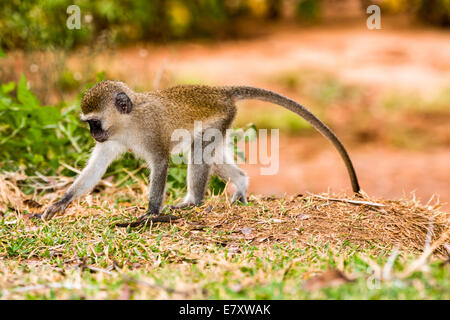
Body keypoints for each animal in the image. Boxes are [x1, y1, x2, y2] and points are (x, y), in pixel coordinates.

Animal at [40, 80, 360, 225]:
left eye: (94, 123)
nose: (94, 134)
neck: (130, 121)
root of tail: (221, 91)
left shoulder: (152, 133)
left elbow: (161, 163)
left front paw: (151, 213)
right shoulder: (112, 140)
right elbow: (96, 168)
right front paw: (62, 202)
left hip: (218, 119)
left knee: (199, 153)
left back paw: (193, 202)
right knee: (212, 157)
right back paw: (240, 183)